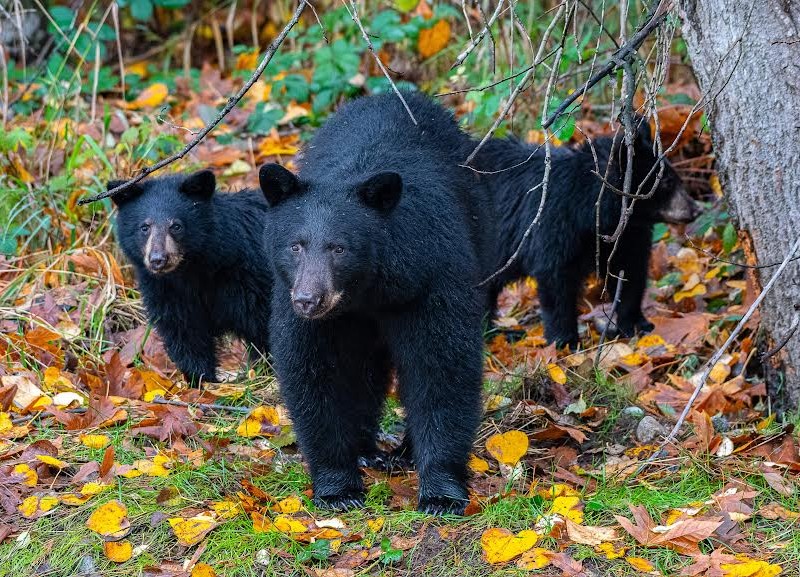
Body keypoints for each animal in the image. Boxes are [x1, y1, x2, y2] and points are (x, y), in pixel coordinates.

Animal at [111, 170, 273, 385]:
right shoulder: (166, 291)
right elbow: (185, 333)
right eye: (144, 227)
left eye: (176, 226)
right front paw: (200, 380)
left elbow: (264, 325)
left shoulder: (248, 279)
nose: (158, 259)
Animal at [258, 91, 496, 515]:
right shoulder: (300, 306)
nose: (308, 300)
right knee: (364, 371)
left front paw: (441, 491)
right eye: (295, 246)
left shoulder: (431, 278)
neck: (368, 292)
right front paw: (338, 488)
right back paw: (366, 450)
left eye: (339, 248)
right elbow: (314, 372)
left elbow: (442, 366)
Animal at [473, 118, 700, 347]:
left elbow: (630, 272)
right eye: (667, 182)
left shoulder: (627, 235)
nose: (696, 209)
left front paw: (637, 325)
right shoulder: (554, 225)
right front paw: (564, 341)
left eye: (675, 178)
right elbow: (556, 279)